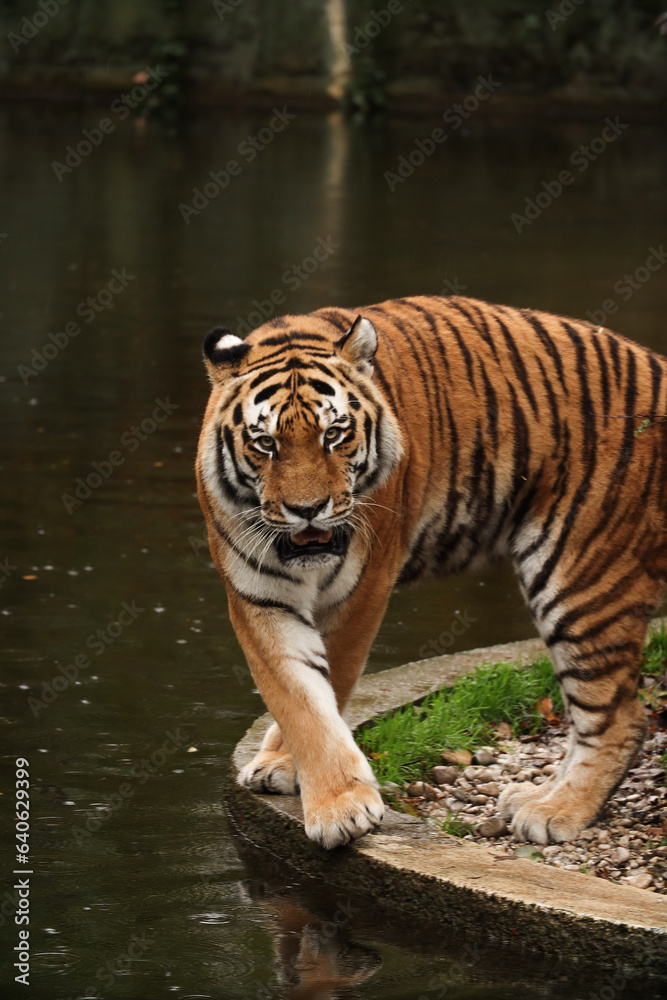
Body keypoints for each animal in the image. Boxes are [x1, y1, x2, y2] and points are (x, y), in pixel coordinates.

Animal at [196, 294, 667, 850]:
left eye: (334, 434)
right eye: (266, 443)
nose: (307, 510)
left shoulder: (363, 588)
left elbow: (327, 686)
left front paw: (337, 807)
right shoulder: (257, 596)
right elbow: (298, 697)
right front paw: (299, 774)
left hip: (579, 576)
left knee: (622, 718)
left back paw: (555, 810)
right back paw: (533, 797)